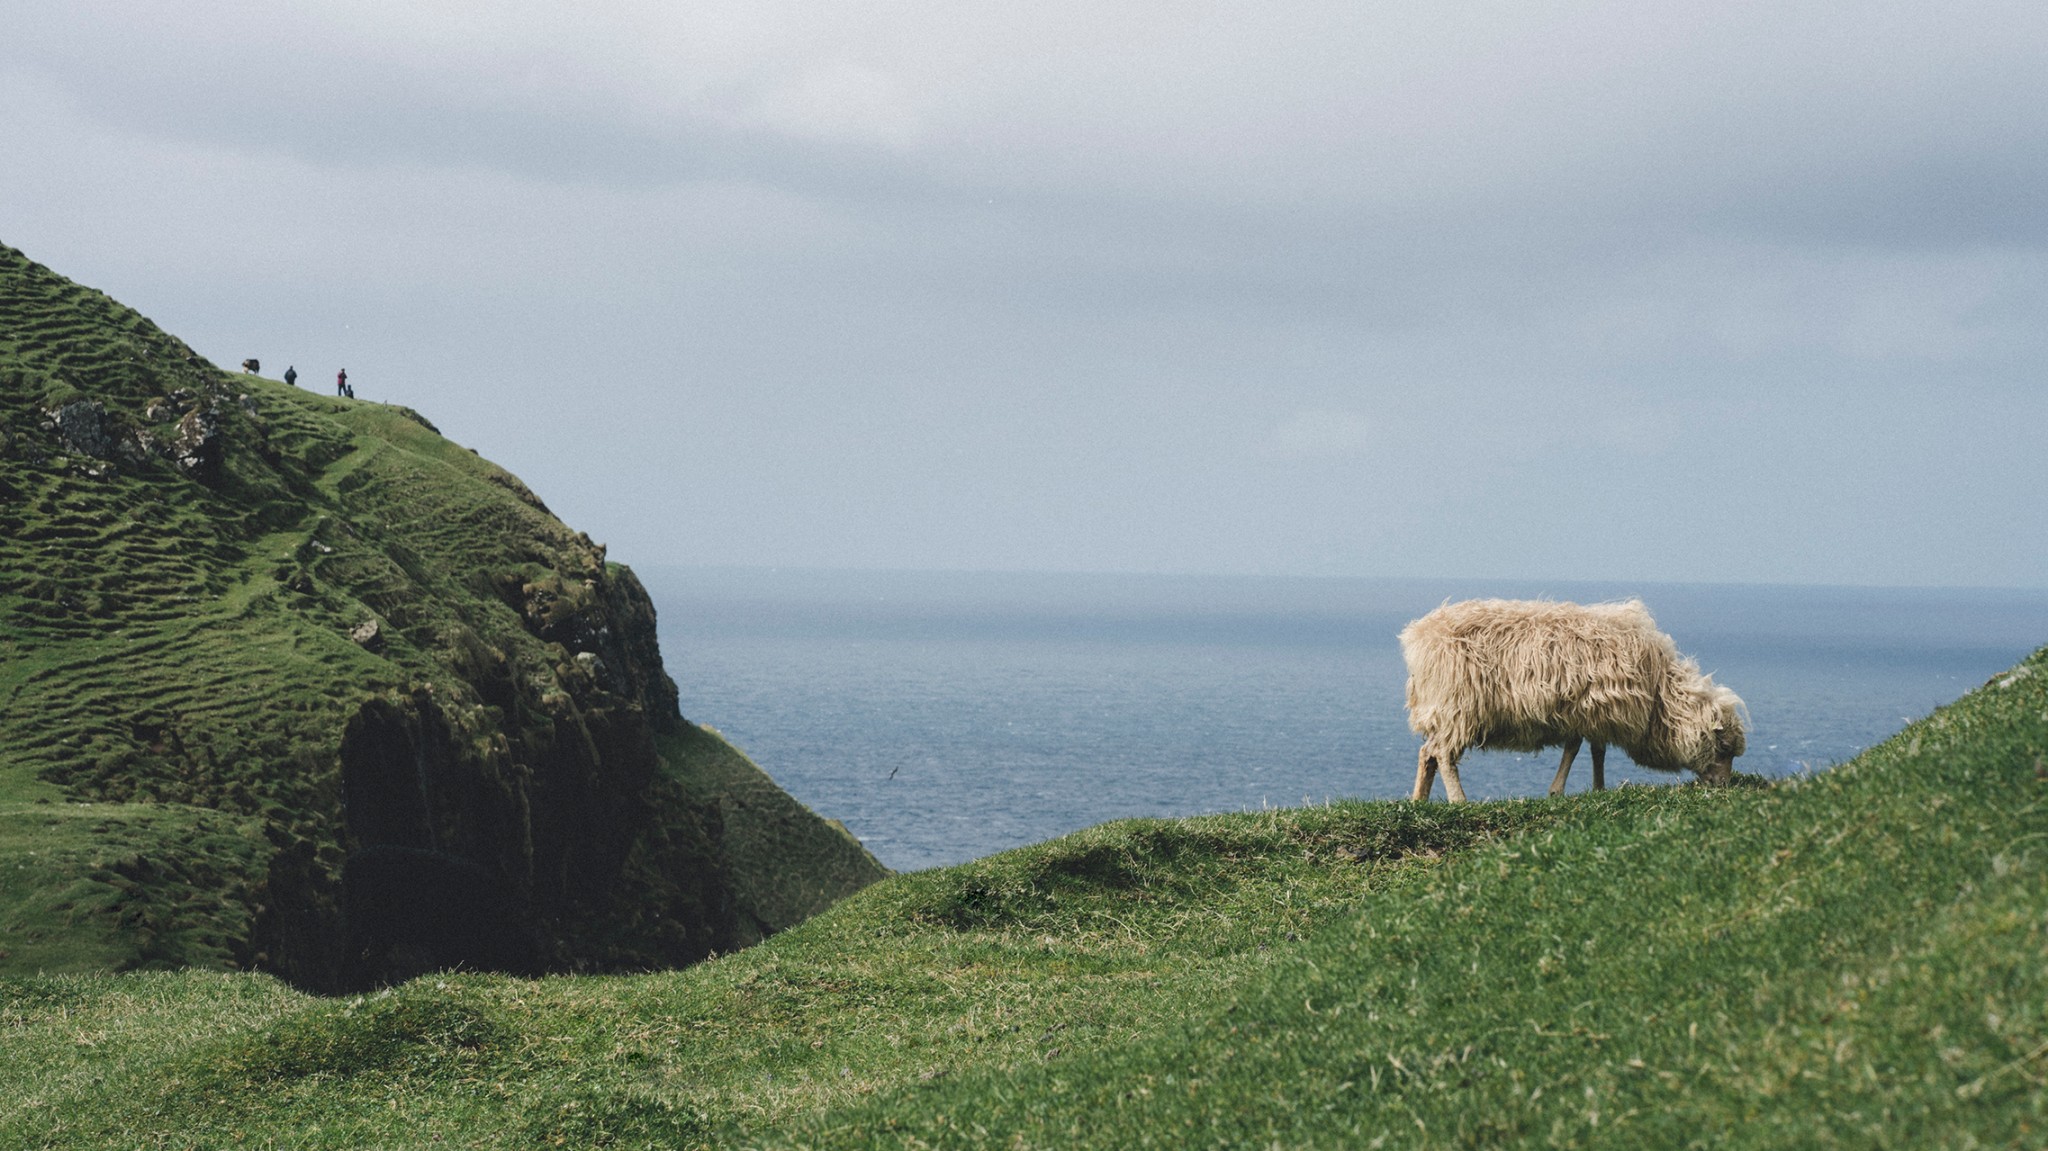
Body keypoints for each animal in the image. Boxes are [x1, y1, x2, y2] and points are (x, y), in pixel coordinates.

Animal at [1400, 593, 1753, 802]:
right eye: (1722, 748)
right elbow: (1582, 749)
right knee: (1443, 754)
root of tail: (1419, 637)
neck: (1660, 693)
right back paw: (1459, 800)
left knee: (1426, 752)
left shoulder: (1590, 712)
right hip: (1458, 706)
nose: (1724, 786)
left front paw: (1594, 789)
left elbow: (1590, 750)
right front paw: (1572, 789)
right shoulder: (1593, 710)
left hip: (1443, 710)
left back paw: (1419, 801)